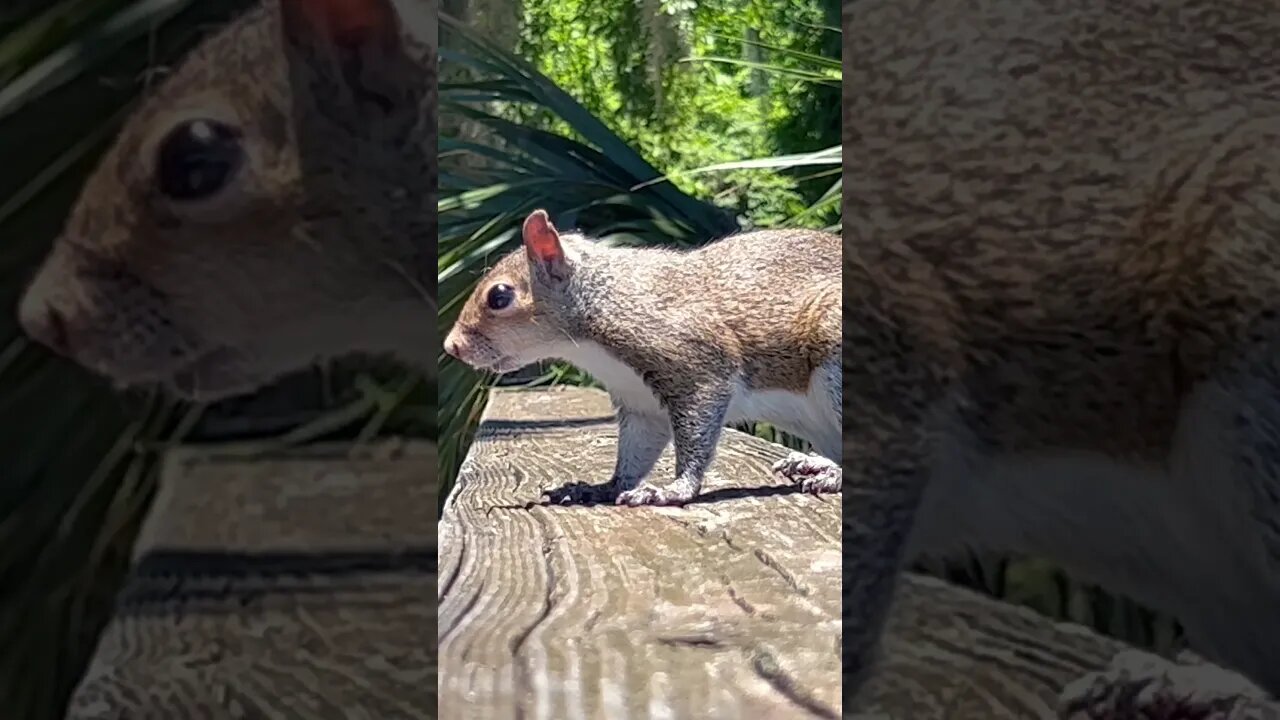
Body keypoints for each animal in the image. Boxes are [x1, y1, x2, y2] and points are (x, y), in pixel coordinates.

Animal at [443, 209, 843, 506]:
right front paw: (601, 487)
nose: (451, 347)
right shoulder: (640, 401)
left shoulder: (697, 366)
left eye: (499, 296)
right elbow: (635, 452)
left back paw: (830, 474)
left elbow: (696, 435)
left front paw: (672, 490)